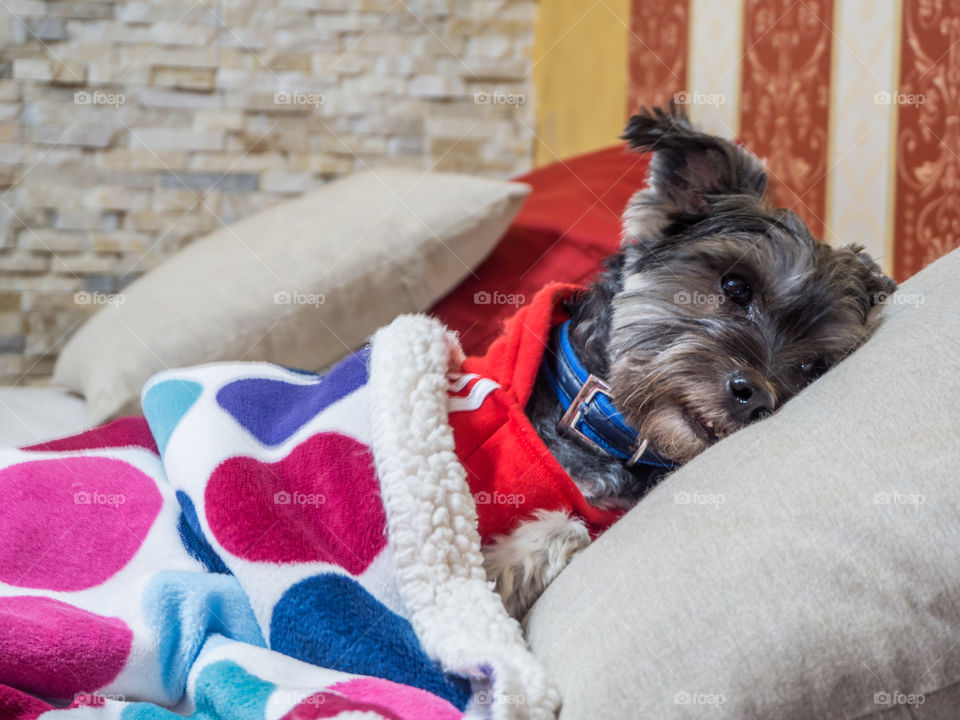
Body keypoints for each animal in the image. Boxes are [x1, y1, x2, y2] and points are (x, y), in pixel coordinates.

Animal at [484, 105, 896, 620]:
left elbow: (569, 529)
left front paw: (502, 564)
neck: (605, 433)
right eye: (736, 285)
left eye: (811, 367)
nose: (755, 398)